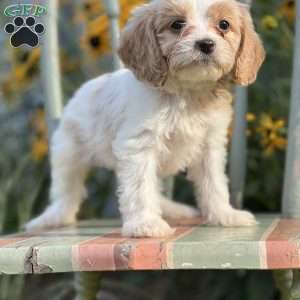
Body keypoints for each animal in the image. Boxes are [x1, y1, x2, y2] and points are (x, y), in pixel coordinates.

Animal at [25, 0, 264, 238]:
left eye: (224, 25)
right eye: (177, 24)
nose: (206, 44)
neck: (187, 92)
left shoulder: (210, 146)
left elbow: (214, 183)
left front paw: (225, 215)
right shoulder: (139, 146)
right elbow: (140, 187)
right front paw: (145, 224)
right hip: (68, 152)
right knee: (66, 191)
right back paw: (52, 218)